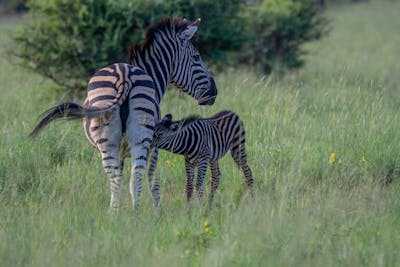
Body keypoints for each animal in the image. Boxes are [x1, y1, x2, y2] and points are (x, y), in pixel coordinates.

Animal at [30, 17, 219, 213]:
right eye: (196, 57)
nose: (214, 92)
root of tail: (124, 77)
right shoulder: (155, 146)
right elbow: (153, 181)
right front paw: (158, 212)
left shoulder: (127, 149)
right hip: (140, 139)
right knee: (135, 177)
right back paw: (135, 215)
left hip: (108, 140)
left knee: (117, 178)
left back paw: (115, 214)